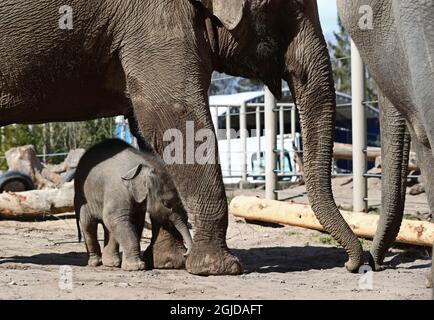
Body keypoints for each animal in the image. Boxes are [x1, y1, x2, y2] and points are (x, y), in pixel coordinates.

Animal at [73, 139, 192, 272]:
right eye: (167, 203)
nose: (186, 253)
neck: (145, 164)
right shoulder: (118, 191)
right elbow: (117, 219)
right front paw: (137, 267)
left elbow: (135, 222)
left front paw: (130, 265)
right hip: (81, 197)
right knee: (88, 224)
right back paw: (95, 263)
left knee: (108, 227)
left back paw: (111, 263)